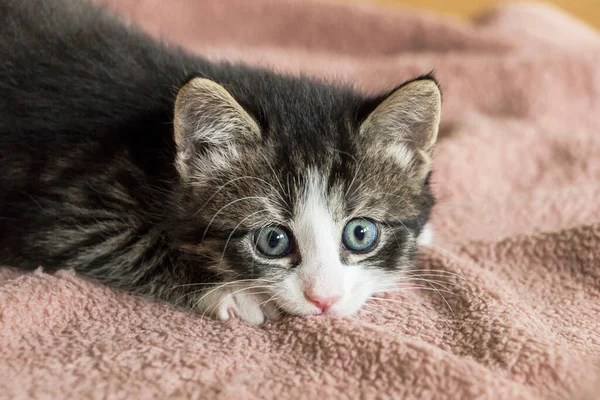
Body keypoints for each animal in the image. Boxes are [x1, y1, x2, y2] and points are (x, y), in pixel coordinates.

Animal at [0, 0, 440, 324]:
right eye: (273, 240)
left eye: (361, 234)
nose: (324, 300)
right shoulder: (59, 208)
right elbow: (128, 243)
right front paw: (231, 290)